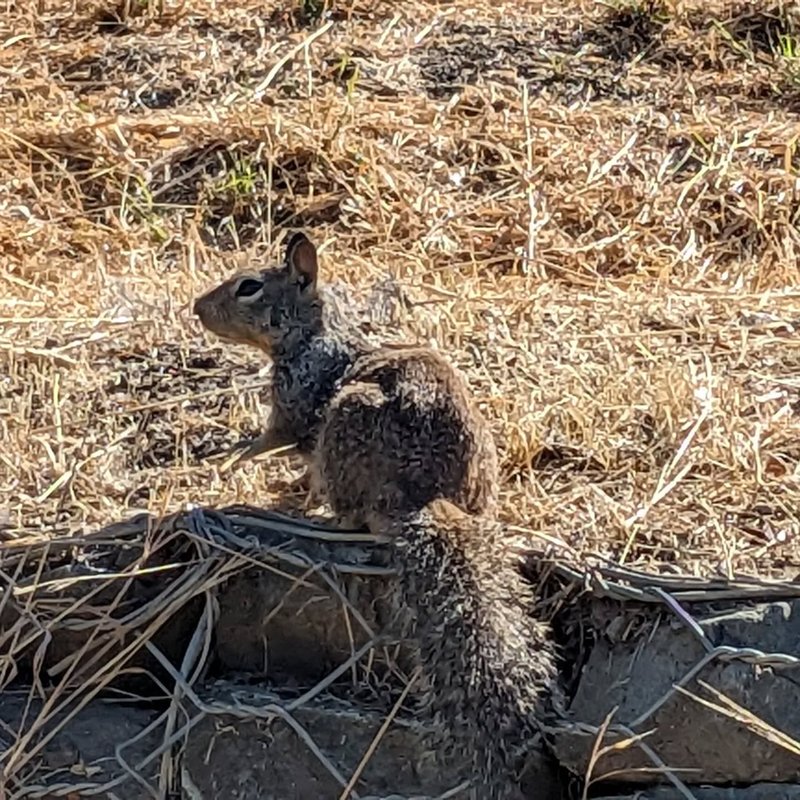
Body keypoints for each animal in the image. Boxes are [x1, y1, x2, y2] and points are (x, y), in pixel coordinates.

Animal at [193, 231, 498, 524]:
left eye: (249, 287)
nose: (198, 307)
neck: (308, 337)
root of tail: (428, 496)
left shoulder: (288, 416)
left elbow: (266, 444)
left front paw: (227, 461)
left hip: (346, 417)